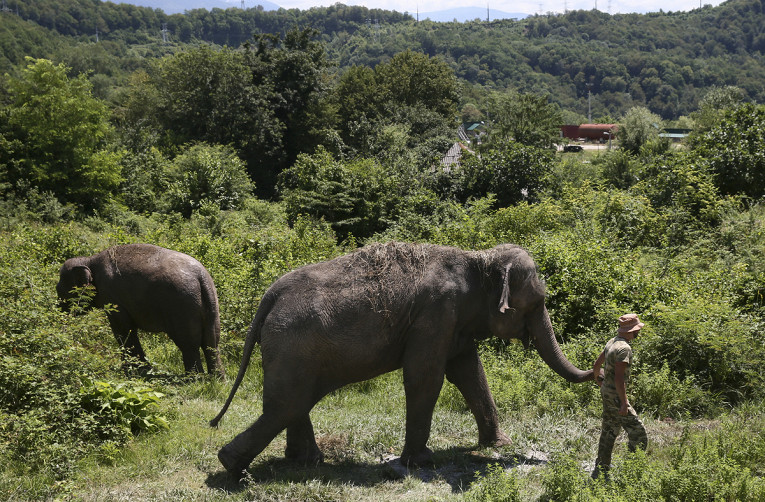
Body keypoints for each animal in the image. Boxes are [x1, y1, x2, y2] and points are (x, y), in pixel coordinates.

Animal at [56, 242, 224, 376]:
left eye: (59, 289)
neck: (90, 259)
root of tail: (201, 277)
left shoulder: (112, 296)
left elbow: (122, 329)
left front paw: (134, 371)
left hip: (182, 306)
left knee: (189, 344)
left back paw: (194, 379)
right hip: (211, 304)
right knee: (211, 342)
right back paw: (216, 379)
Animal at [212, 241, 592, 476]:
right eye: (537, 302)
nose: (599, 366)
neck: (478, 260)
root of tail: (270, 294)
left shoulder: (453, 323)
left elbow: (469, 372)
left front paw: (498, 444)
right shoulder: (436, 314)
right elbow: (425, 376)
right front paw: (421, 463)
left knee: (296, 401)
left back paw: (306, 461)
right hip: (293, 344)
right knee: (288, 403)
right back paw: (231, 466)